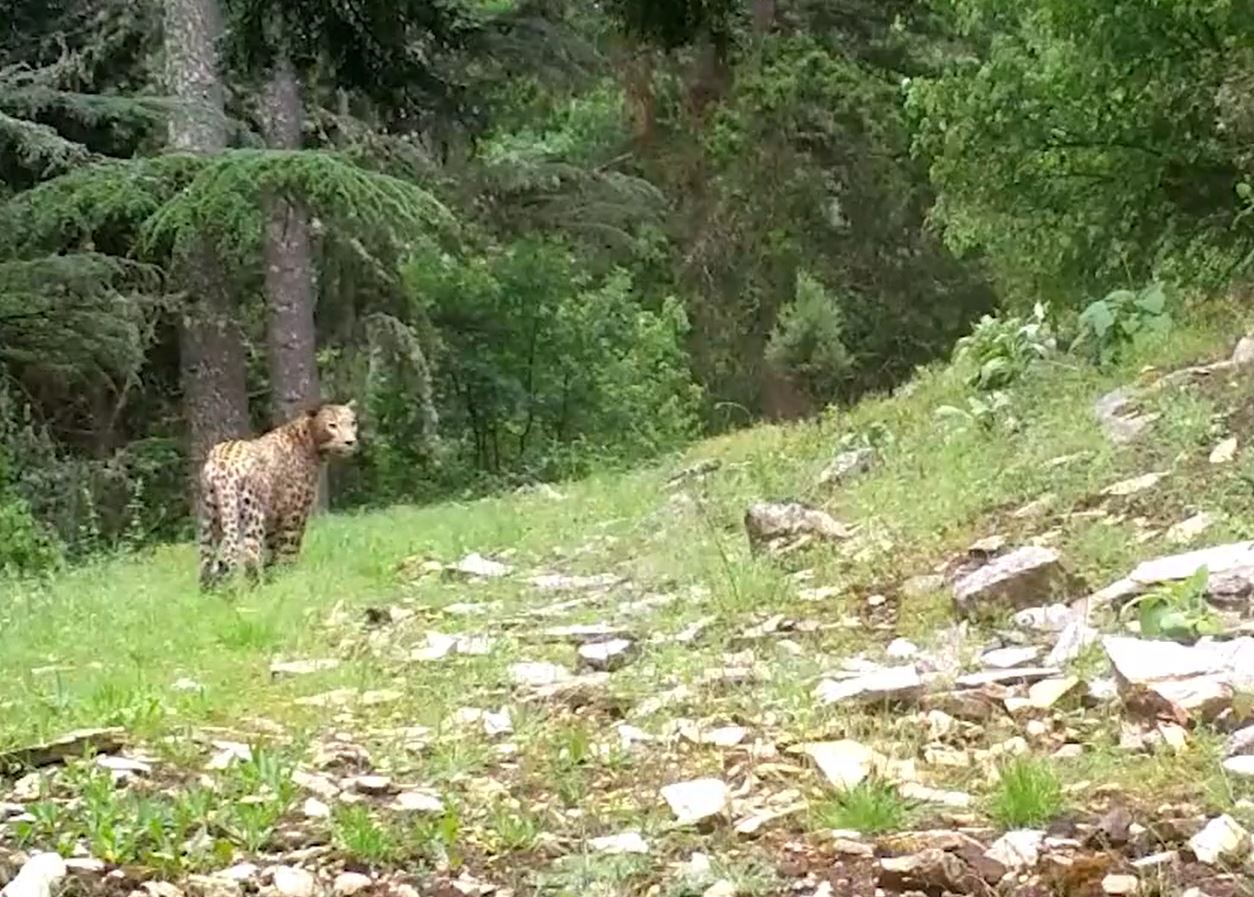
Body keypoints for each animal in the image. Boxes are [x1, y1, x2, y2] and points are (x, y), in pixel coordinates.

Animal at [195, 398, 361, 589]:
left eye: (352, 423)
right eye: (332, 425)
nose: (350, 442)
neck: (310, 441)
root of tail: (222, 462)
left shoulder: (273, 520)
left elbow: (271, 555)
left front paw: (274, 580)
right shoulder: (295, 515)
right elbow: (289, 551)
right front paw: (290, 580)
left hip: (211, 518)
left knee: (206, 559)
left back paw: (208, 592)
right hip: (253, 517)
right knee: (249, 556)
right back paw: (255, 590)